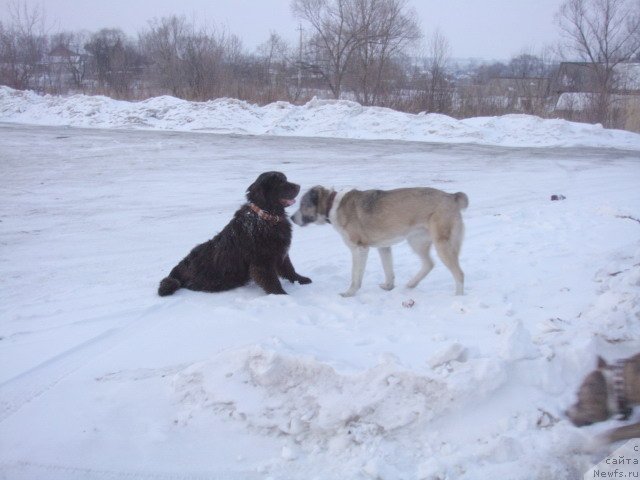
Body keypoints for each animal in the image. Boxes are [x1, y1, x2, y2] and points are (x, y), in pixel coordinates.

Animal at [159, 171, 312, 294]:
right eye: (280, 182)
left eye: (285, 179)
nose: (298, 186)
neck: (265, 217)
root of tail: (177, 269)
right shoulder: (262, 260)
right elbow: (272, 280)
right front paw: (281, 294)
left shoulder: (280, 252)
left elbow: (289, 269)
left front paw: (301, 279)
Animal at [292, 187, 468, 296]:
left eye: (303, 204)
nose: (292, 218)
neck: (332, 204)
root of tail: (452, 196)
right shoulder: (384, 247)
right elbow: (388, 271)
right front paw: (388, 287)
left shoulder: (360, 249)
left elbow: (355, 276)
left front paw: (349, 293)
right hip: (417, 241)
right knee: (429, 264)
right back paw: (411, 284)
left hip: (441, 244)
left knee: (459, 273)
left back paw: (458, 296)